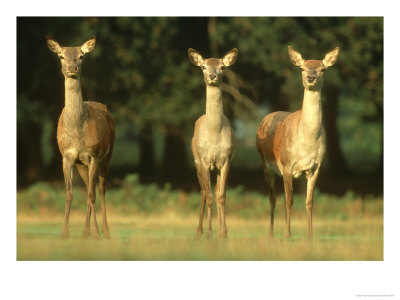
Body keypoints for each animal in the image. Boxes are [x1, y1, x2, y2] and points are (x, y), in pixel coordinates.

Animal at [47, 37, 115, 239]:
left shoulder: (93, 155)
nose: (72, 68)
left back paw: (104, 232)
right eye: (61, 56)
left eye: (81, 56)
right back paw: (89, 232)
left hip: (106, 157)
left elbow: (93, 194)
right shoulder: (66, 156)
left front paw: (93, 233)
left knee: (100, 190)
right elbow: (69, 194)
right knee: (89, 189)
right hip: (81, 165)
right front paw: (64, 234)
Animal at [188, 48, 238, 238]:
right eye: (203, 66)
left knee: (215, 192)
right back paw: (199, 230)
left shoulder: (226, 160)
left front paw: (223, 233)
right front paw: (209, 232)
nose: (212, 75)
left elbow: (221, 196)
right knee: (203, 192)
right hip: (196, 162)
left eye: (222, 66)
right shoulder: (203, 161)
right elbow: (209, 196)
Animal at [258, 45, 340, 239]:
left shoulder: (316, 167)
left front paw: (310, 236)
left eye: (323, 69)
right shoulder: (288, 165)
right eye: (302, 68)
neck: (307, 143)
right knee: (272, 198)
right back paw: (271, 233)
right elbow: (289, 200)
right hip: (266, 165)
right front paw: (287, 234)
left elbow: (309, 201)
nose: (311, 78)